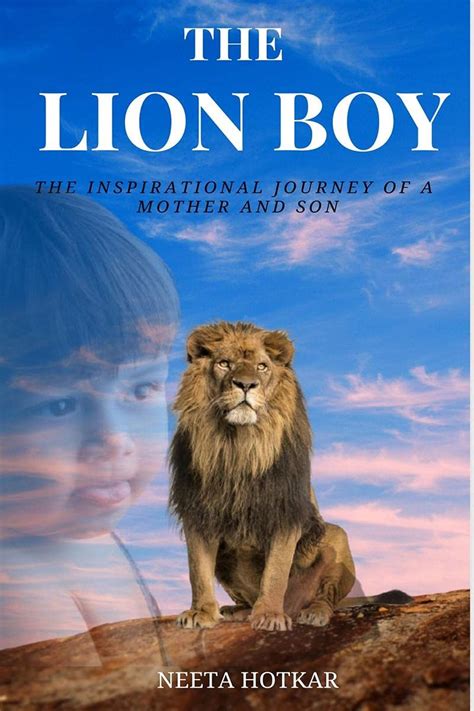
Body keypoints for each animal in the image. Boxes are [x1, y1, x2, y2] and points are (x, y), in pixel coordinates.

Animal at [169, 321, 410, 632]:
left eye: (262, 367)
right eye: (224, 364)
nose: (246, 385)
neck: (239, 447)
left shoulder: (285, 511)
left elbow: (276, 571)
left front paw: (270, 615)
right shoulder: (198, 511)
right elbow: (197, 570)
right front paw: (201, 612)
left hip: (337, 537)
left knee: (326, 596)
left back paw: (313, 613)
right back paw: (239, 611)